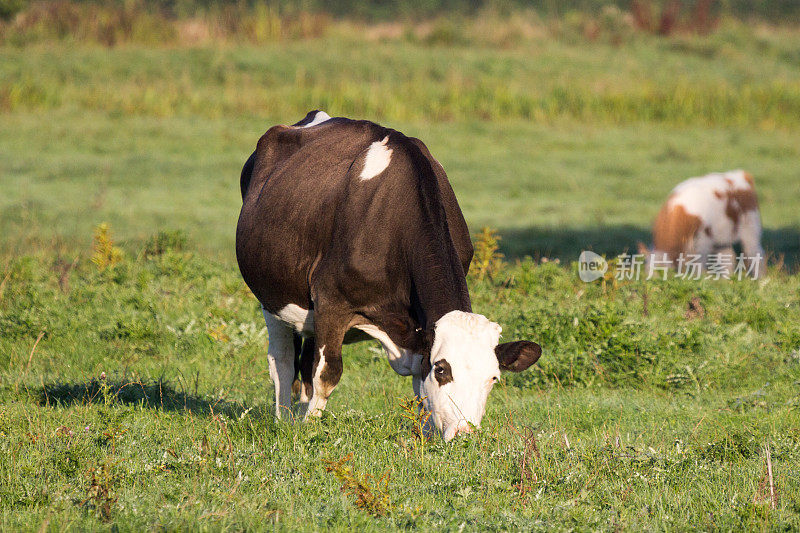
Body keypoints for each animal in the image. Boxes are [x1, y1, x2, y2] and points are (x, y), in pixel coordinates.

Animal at [234, 110, 540, 438]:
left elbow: (420, 388)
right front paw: (309, 432)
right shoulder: (331, 301)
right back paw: (284, 421)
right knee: (283, 362)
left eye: (493, 378)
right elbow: (327, 374)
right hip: (272, 297)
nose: (464, 433)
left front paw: (426, 436)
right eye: (442, 369)